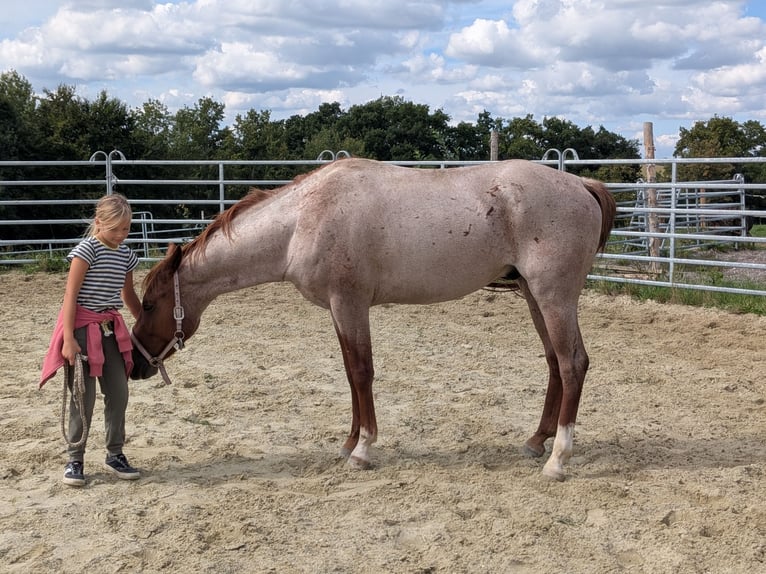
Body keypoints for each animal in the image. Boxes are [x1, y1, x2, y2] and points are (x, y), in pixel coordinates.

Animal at [130, 157, 616, 481]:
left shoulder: (350, 303)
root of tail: (580, 183)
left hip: (553, 296)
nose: (135, 366)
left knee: (573, 363)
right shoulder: (338, 308)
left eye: (149, 304)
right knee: (554, 363)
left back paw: (558, 459)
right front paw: (348, 443)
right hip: (534, 295)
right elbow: (350, 373)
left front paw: (363, 449)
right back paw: (537, 441)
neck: (303, 219)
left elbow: (362, 372)